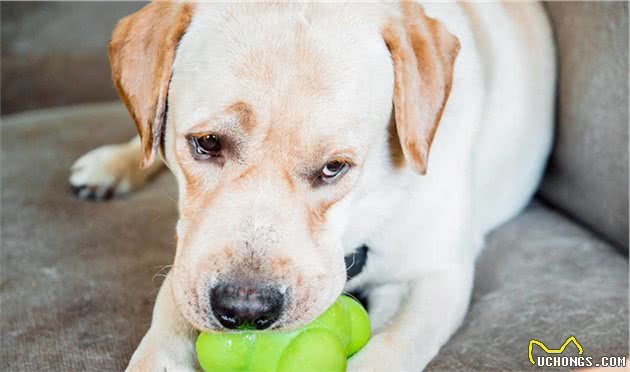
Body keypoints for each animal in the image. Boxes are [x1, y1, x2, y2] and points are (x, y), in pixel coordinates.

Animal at [68, 2, 552, 370]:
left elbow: (389, 349)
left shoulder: (437, 275)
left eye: (334, 167)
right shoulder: (189, 263)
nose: (245, 310)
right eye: (207, 143)